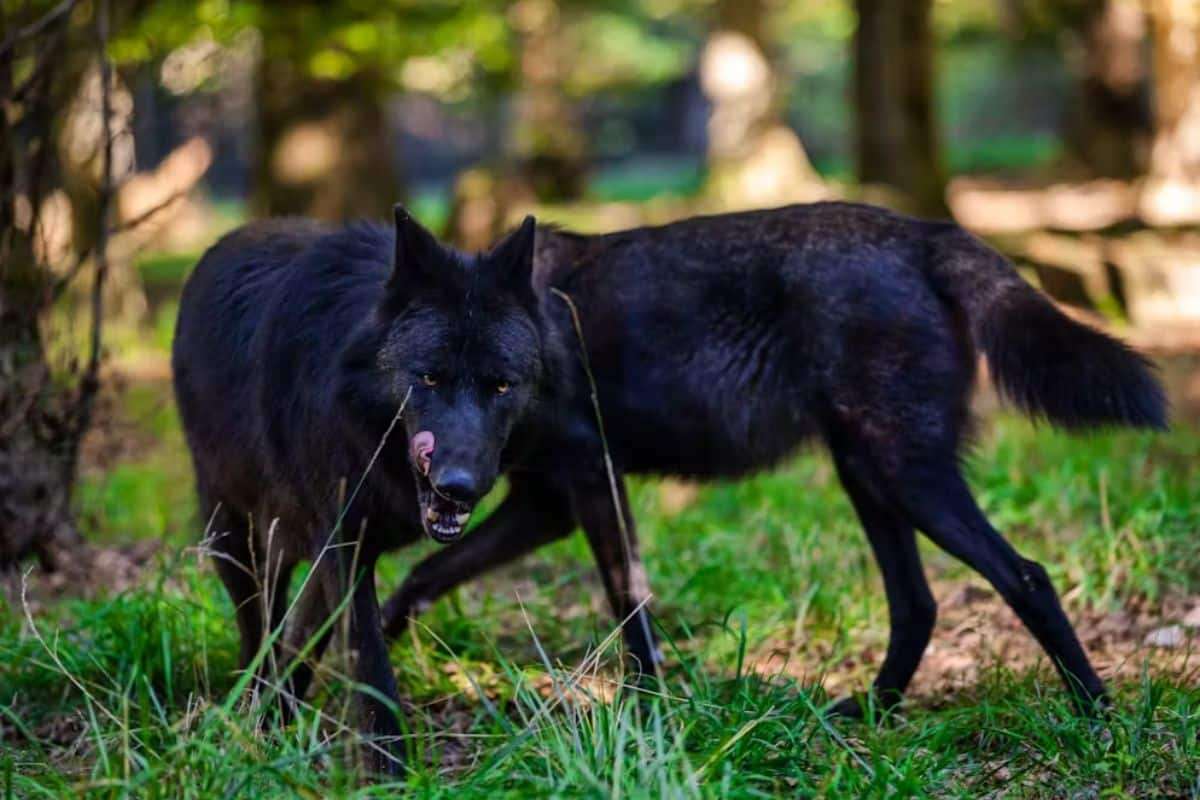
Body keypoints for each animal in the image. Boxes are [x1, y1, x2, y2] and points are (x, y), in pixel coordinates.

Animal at [172, 209, 561, 773]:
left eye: (502, 385)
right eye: (429, 378)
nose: (458, 485)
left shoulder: (343, 546)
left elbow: (327, 640)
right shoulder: (344, 544)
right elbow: (371, 665)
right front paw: (391, 773)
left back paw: (277, 710)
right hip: (231, 533)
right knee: (260, 626)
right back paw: (254, 709)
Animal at [379, 201, 1166, 719]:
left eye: (494, 383)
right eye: (429, 378)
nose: (452, 481)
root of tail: (921, 230)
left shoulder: (589, 484)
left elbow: (629, 602)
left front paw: (649, 712)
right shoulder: (546, 506)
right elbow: (420, 577)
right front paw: (363, 662)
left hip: (907, 478)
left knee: (1026, 576)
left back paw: (1097, 718)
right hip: (868, 477)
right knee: (918, 602)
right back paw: (868, 712)